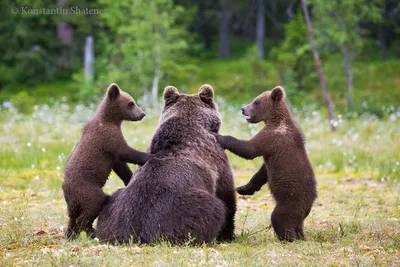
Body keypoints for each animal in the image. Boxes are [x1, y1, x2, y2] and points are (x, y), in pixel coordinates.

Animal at [95, 85, 236, 244]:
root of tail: (137, 234)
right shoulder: (217, 159)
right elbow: (227, 194)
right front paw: (228, 235)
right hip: (182, 210)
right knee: (211, 210)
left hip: (113, 209)